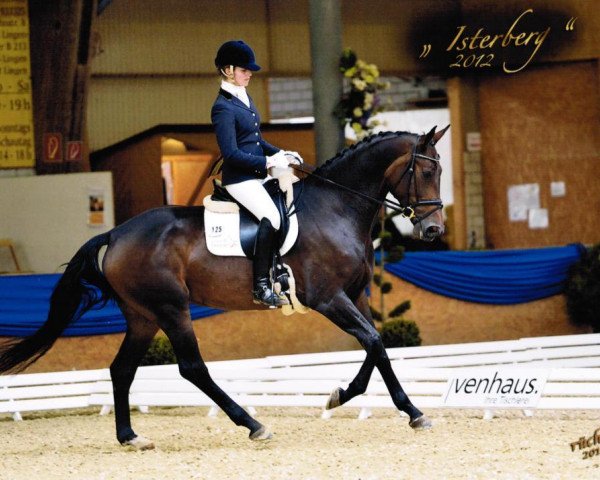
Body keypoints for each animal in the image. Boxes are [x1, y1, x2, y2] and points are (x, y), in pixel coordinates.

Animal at [0, 125, 450, 448]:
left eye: (441, 171)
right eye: (427, 171)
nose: (432, 230)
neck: (335, 208)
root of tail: (115, 233)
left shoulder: (355, 295)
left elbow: (377, 345)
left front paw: (360, 398)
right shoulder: (328, 299)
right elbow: (373, 342)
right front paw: (390, 407)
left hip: (143, 315)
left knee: (121, 369)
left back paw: (130, 437)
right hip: (171, 309)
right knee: (192, 368)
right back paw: (253, 424)